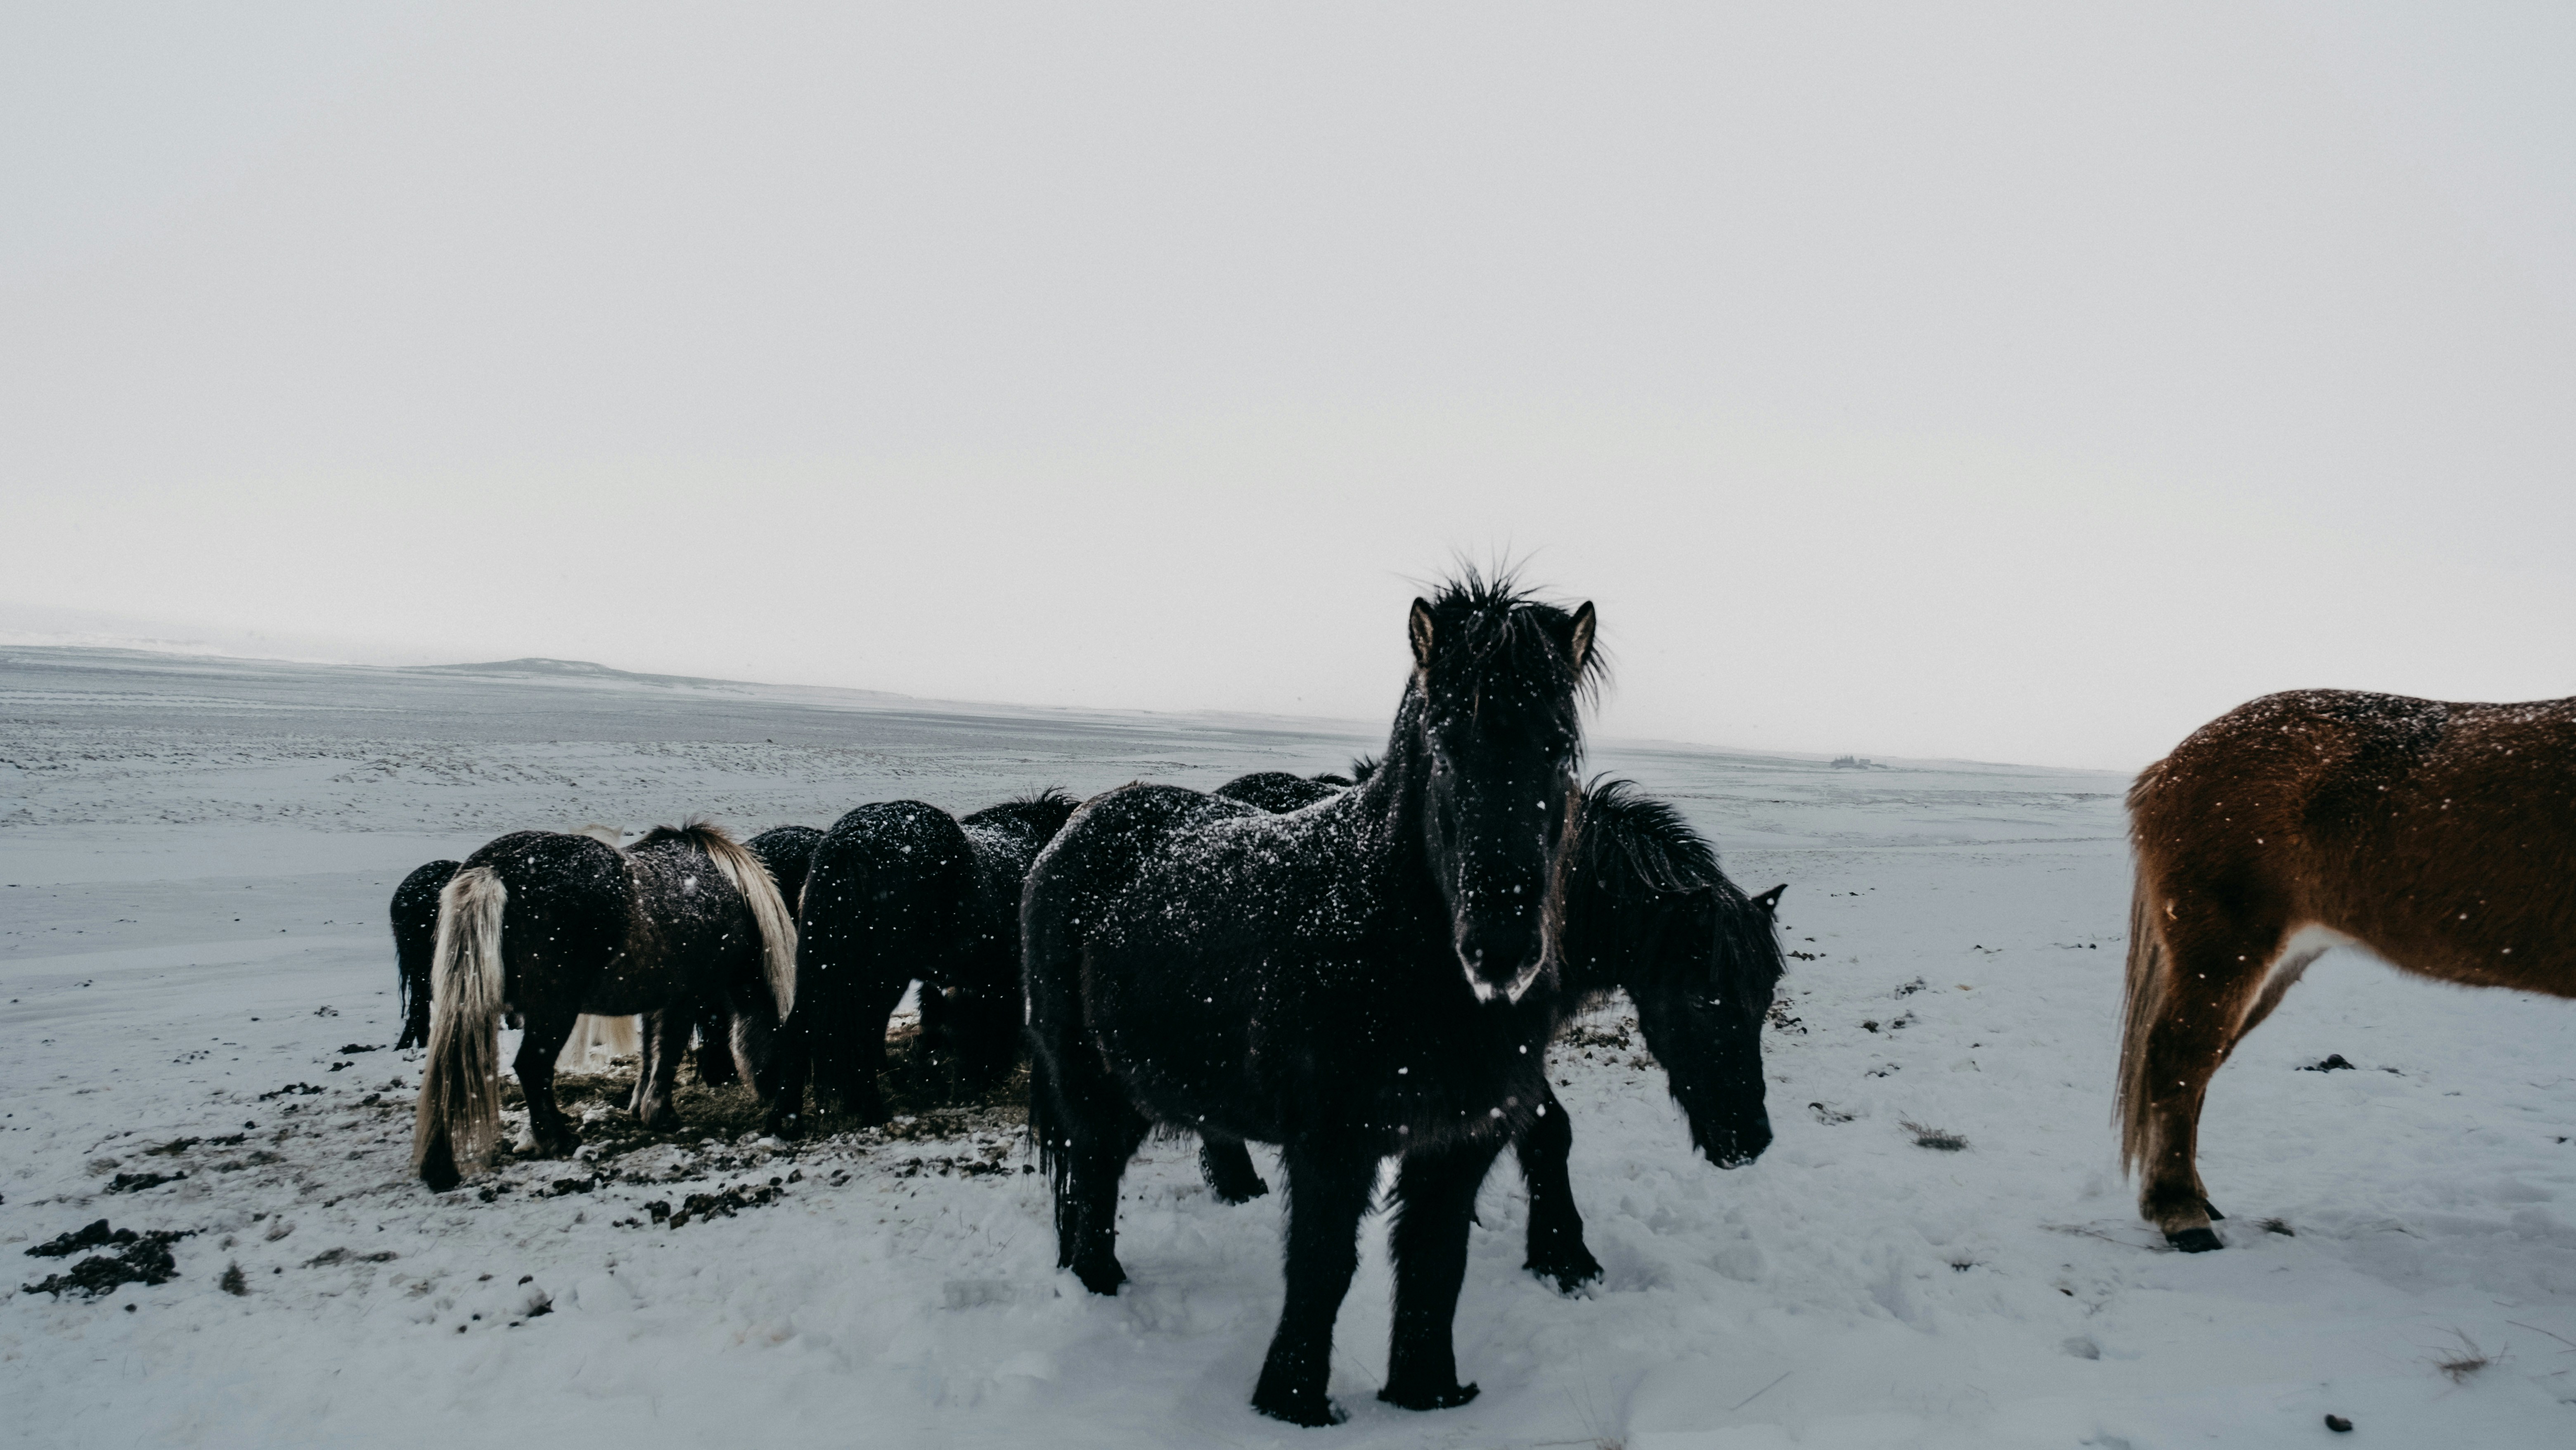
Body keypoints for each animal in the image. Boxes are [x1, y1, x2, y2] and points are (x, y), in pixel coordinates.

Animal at [409, 820, 798, 1190]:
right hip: (554, 1012)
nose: (775, 1094)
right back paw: (558, 1139)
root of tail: (493, 869)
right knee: (532, 1068)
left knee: (452, 1067)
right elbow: (669, 1054)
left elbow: (650, 1054)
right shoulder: (685, 1000)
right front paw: (661, 1115)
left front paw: (640, 1107)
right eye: (784, 1040)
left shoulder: (655, 1002)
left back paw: (441, 1166)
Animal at [765, 790, 1080, 1132]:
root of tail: (850, 845)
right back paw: (875, 1113)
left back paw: (783, 1123)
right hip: (878, 976)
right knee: (861, 1033)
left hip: (821, 966)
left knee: (801, 1029)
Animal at [1023, 572, 1602, 1426]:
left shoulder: (1461, 1138)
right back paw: (1100, 1290)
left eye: (1558, 746)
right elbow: (1323, 1266)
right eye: (1443, 745)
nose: (1500, 948)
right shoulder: (1333, 1143)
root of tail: (1078, 824)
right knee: (1093, 1178)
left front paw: (1428, 1395)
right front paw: (1292, 1404)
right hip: (1092, 1087)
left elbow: (1435, 1263)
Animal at [1202, 778, 1786, 1289]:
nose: (1751, 1139)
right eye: (1705, 1000)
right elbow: (1549, 1129)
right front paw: (1565, 1255)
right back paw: (1237, 1183)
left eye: (1765, 999)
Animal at [2118, 689, 2576, 1251]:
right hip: (2225, 952)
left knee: (2202, 1065)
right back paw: (2183, 1214)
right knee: (2179, 1059)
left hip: (2270, 965)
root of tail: (2172, 764)